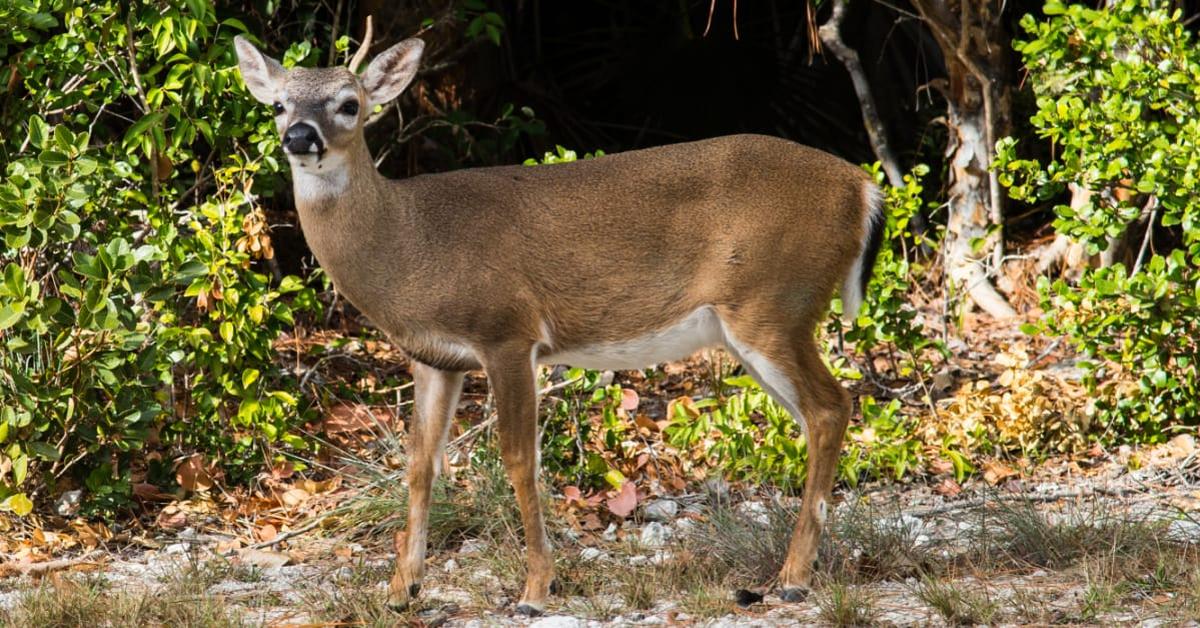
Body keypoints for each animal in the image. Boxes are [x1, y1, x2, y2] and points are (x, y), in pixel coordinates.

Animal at [238, 22, 888, 614]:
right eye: (278, 105)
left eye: (349, 104)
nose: (300, 136)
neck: (410, 243)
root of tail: (864, 187)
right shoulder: (434, 358)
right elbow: (421, 465)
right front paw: (402, 590)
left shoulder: (507, 330)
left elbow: (520, 460)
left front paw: (535, 590)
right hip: (762, 322)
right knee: (819, 416)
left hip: (772, 303)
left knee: (830, 407)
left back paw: (793, 578)